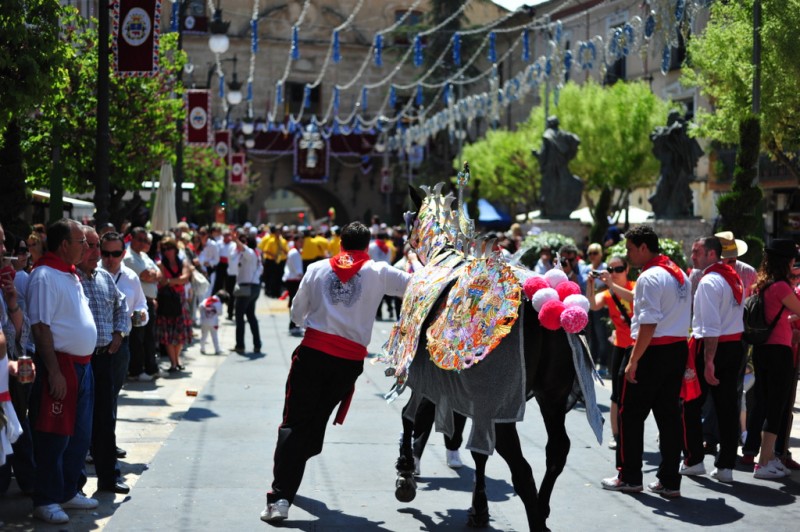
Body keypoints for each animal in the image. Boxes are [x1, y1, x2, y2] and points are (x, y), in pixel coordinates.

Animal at [380, 164, 600, 528]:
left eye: (407, 221)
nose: (405, 252)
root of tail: (548, 308)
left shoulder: (425, 374)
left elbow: (412, 416)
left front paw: (405, 472)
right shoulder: (470, 395)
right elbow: (476, 450)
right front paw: (478, 508)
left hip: (506, 400)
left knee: (521, 467)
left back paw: (537, 519)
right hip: (552, 397)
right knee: (557, 451)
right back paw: (542, 508)